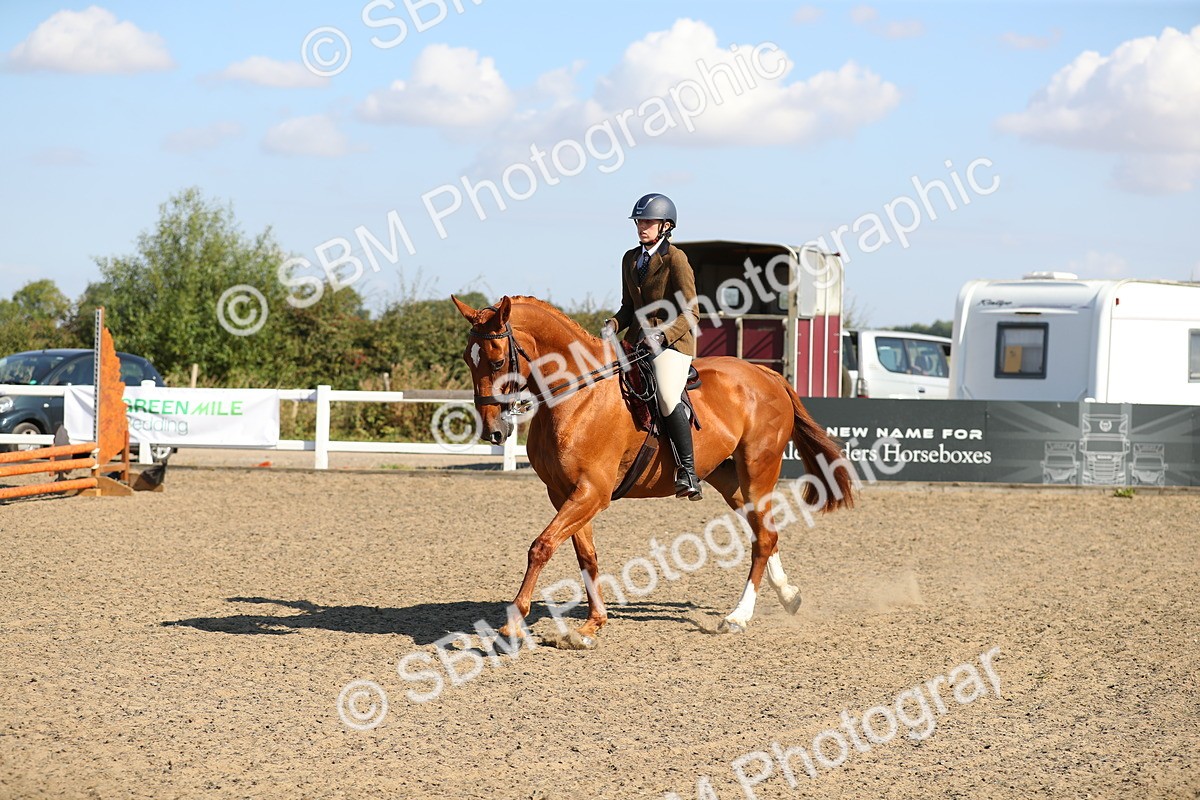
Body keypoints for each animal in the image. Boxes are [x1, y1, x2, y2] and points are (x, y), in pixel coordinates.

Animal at [452, 295, 854, 647]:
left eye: (497, 361)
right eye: (468, 360)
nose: (493, 432)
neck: (576, 394)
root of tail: (767, 374)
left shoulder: (591, 491)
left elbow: (542, 546)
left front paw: (513, 623)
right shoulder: (565, 492)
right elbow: (586, 555)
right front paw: (592, 625)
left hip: (759, 467)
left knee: (763, 539)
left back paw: (738, 616)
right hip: (728, 477)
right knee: (764, 532)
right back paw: (788, 595)